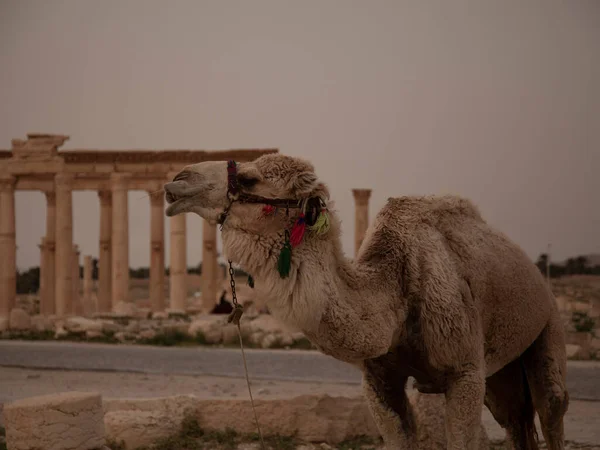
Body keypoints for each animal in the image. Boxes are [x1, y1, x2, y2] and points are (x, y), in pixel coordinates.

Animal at [163, 156, 568, 450]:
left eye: (249, 179)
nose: (176, 180)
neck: (395, 296)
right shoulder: (378, 381)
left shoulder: (464, 369)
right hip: (501, 373)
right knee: (515, 420)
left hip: (547, 326)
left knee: (551, 409)